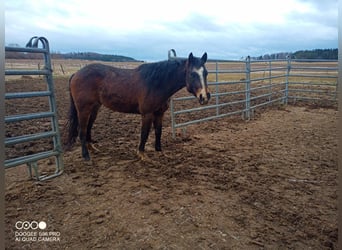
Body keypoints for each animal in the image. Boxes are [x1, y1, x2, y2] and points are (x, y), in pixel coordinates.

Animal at [63, 53, 208, 161]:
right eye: (192, 74)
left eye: (206, 73)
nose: (205, 97)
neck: (157, 83)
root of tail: (76, 74)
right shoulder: (147, 114)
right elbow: (144, 133)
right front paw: (142, 154)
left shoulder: (159, 113)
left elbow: (158, 132)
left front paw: (159, 151)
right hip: (83, 109)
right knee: (82, 130)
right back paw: (86, 156)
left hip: (94, 108)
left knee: (88, 128)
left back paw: (92, 148)